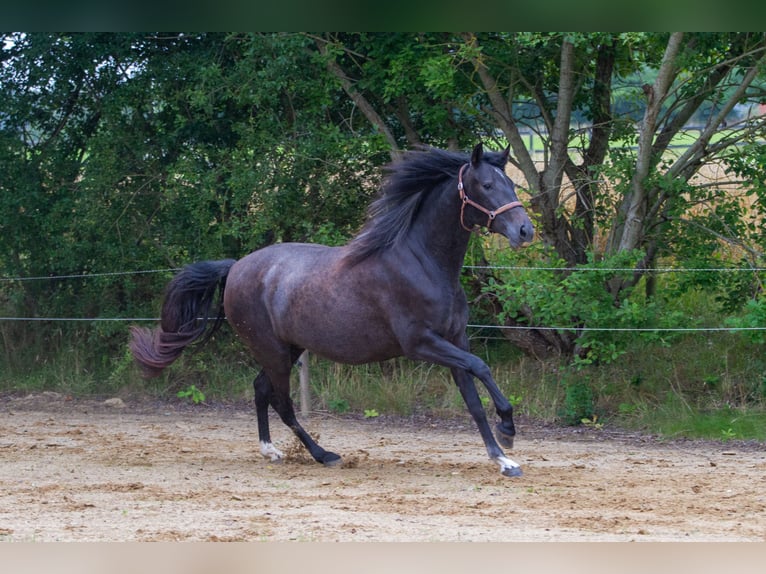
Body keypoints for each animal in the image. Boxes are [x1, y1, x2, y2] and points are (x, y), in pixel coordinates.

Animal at [129, 142, 534, 477]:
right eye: (486, 185)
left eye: (511, 186)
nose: (525, 231)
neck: (423, 263)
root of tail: (235, 268)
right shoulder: (422, 343)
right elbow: (482, 368)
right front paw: (508, 430)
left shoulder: (454, 340)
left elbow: (473, 400)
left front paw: (503, 458)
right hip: (272, 350)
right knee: (281, 402)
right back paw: (324, 455)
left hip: (288, 348)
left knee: (261, 389)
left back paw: (270, 450)